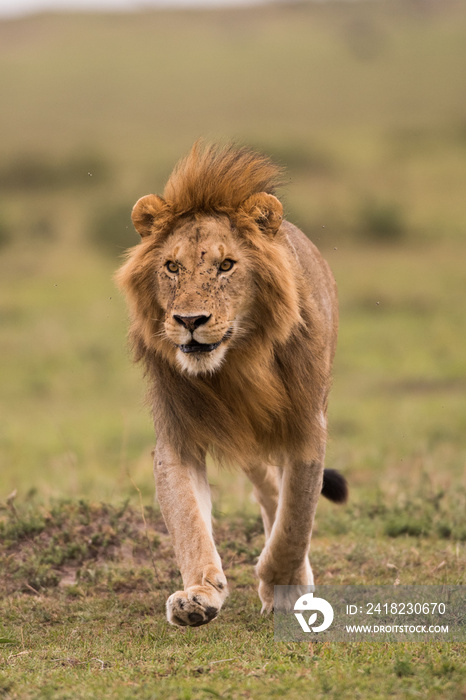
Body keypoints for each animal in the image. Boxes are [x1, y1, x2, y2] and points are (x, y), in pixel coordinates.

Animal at [115, 144, 348, 628]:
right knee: (268, 491)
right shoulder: (178, 438)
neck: (235, 366)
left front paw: (281, 584)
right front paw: (199, 596)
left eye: (225, 266)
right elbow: (188, 522)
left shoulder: (307, 429)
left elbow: (295, 521)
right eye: (172, 267)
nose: (189, 320)